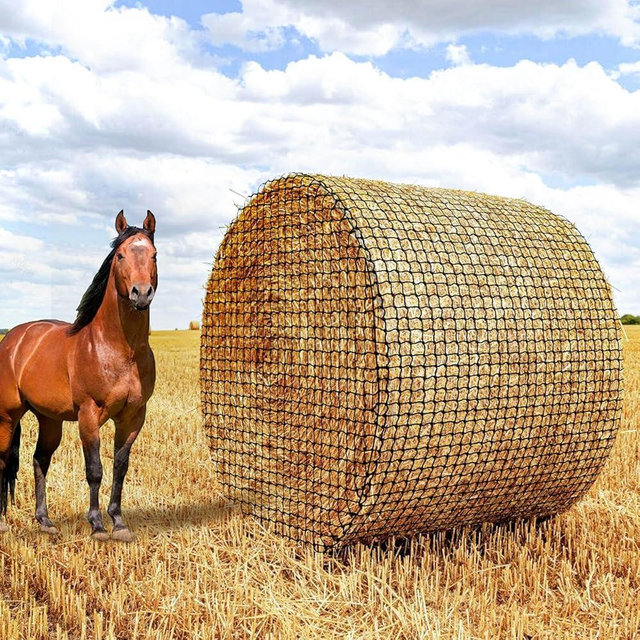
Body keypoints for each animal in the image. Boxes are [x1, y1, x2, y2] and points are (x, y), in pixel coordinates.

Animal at [0, 210, 157, 541]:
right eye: (120, 255)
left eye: (154, 255)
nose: (141, 294)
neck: (120, 349)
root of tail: (12, 339)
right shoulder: (89, 414)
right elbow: (94, 469)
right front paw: (97, 525)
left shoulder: (133, 416)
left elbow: (120, 467)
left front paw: (119, 523)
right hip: (7, 416)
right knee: (3, 459)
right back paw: (3, 522)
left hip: (49, 420)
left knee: (40, 460)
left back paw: (45, 521)